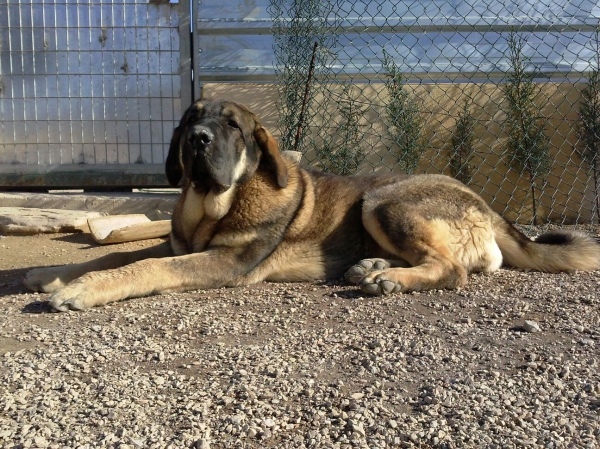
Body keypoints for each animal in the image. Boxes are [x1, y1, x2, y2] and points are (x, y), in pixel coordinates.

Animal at [24, 98, 600, 310]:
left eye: (232, 127)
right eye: (191, 118)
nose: (197, 140)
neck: (214, 202)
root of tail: (484, 203)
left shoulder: (224, 262)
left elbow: (144, 267)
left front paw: (79, 289)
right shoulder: (178, 244)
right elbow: (120, 254)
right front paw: (50, 274)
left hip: (383, 199)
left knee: (455, 270)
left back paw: (389, 279)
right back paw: (370, 267)